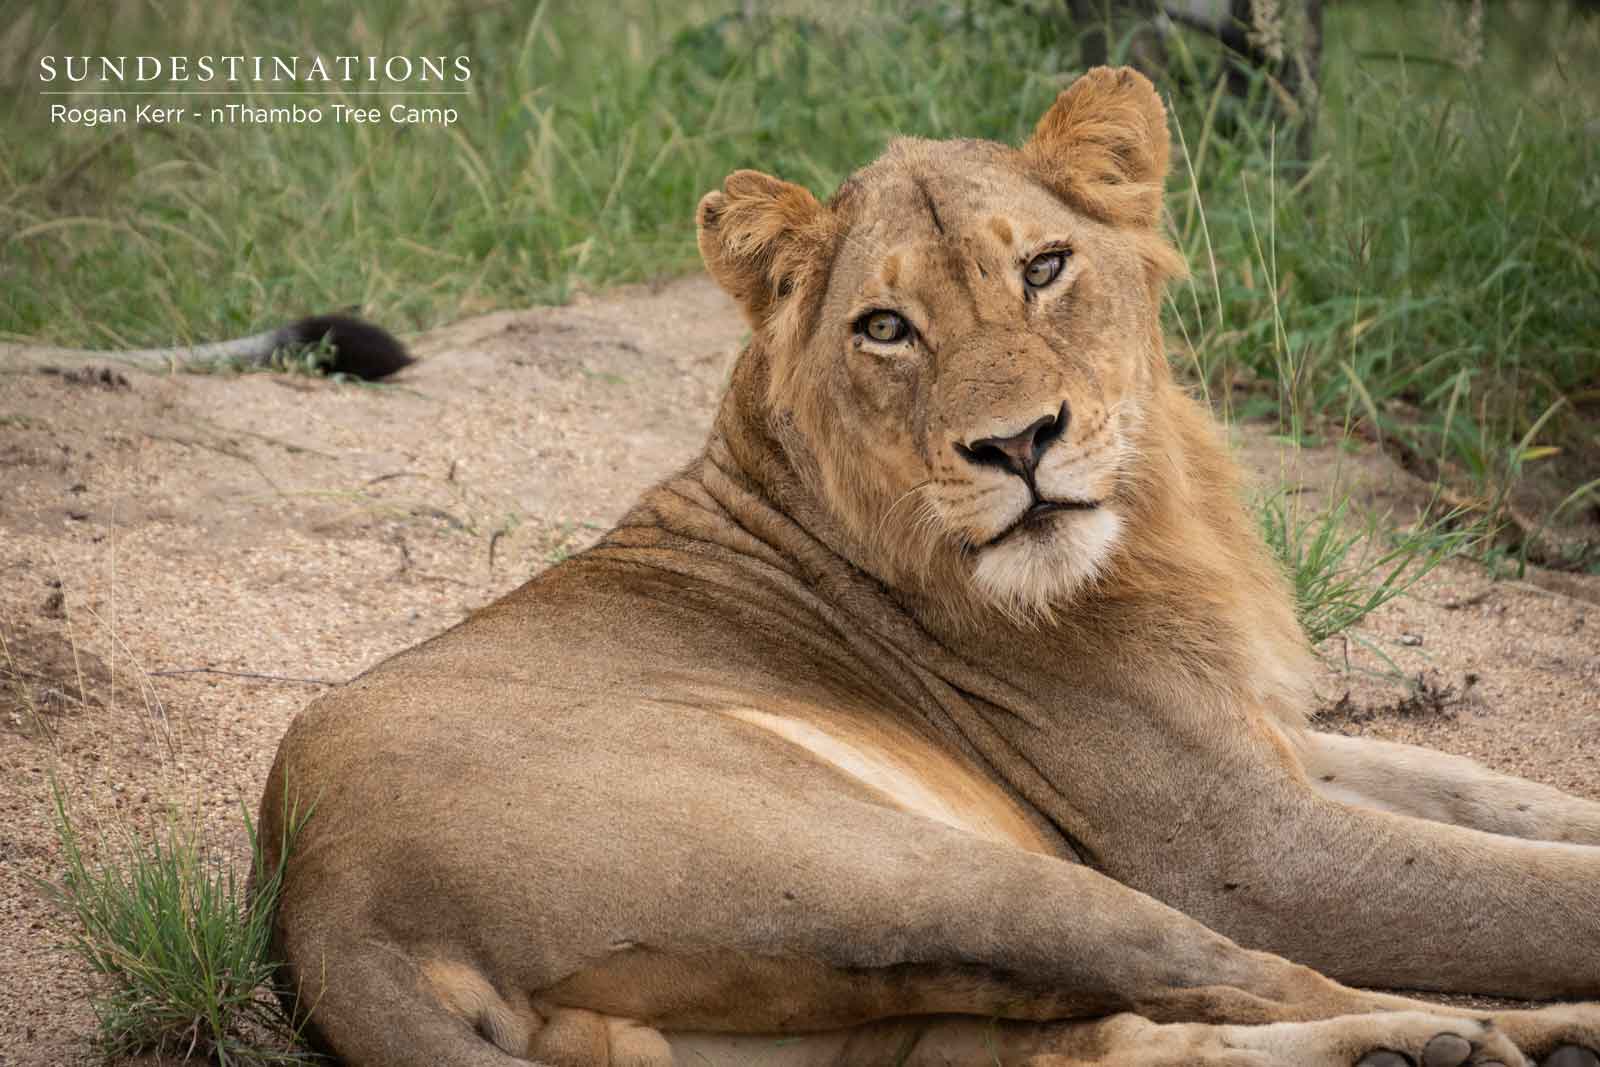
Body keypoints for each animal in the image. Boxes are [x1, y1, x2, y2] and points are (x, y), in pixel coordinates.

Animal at [258, 68, 1600, 1067]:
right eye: (885, 327)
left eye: (1044, 267)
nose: (1018, 443)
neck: (1159, 519)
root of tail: (327, 900)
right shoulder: (1247, 844)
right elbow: (1528, 892)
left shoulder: (1261, 739)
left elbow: (1495, 793)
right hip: (941, 873)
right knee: (1249, 979)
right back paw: (1479, 1036)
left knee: (1098, 1041)